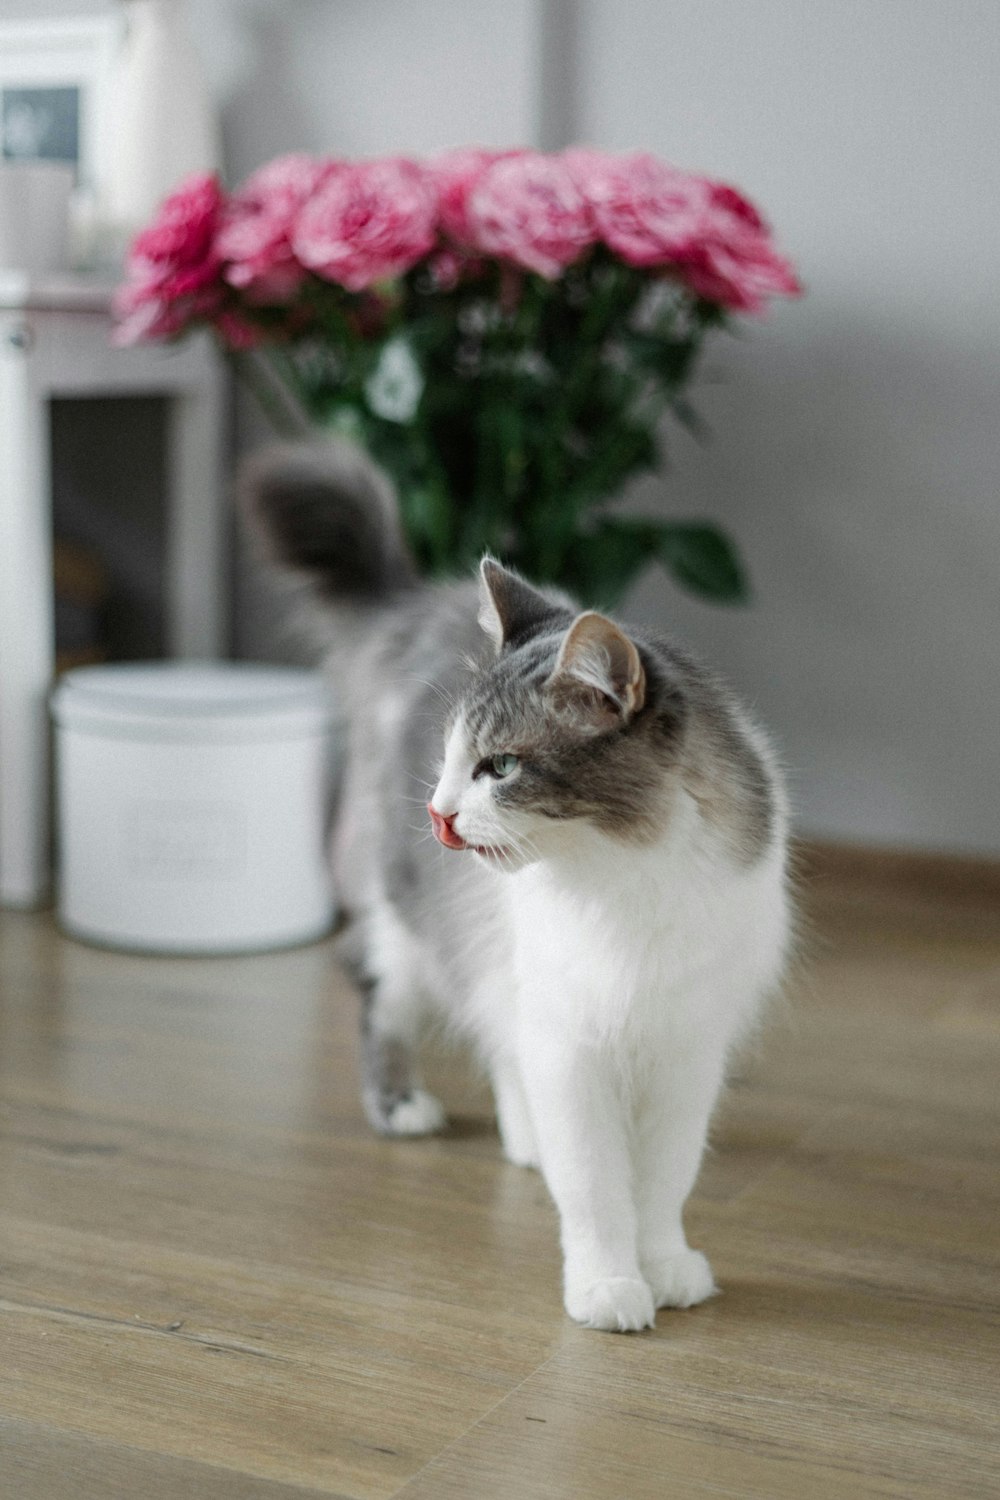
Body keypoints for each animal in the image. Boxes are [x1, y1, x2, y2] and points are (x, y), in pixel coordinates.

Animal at [239, 438, 791, 1332]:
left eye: (498, 768)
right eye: (452, 758)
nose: (439, 814)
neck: (627, 884)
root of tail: (422, 602)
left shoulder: (684, 1049)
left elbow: (664, 1186)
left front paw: (667, 1270)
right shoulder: (572, 1042)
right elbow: (598, 1191)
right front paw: (609, 1289)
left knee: (497, 1037)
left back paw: (524, 1142)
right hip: (414, 932)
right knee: (384, 1004)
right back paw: (406, 1111)